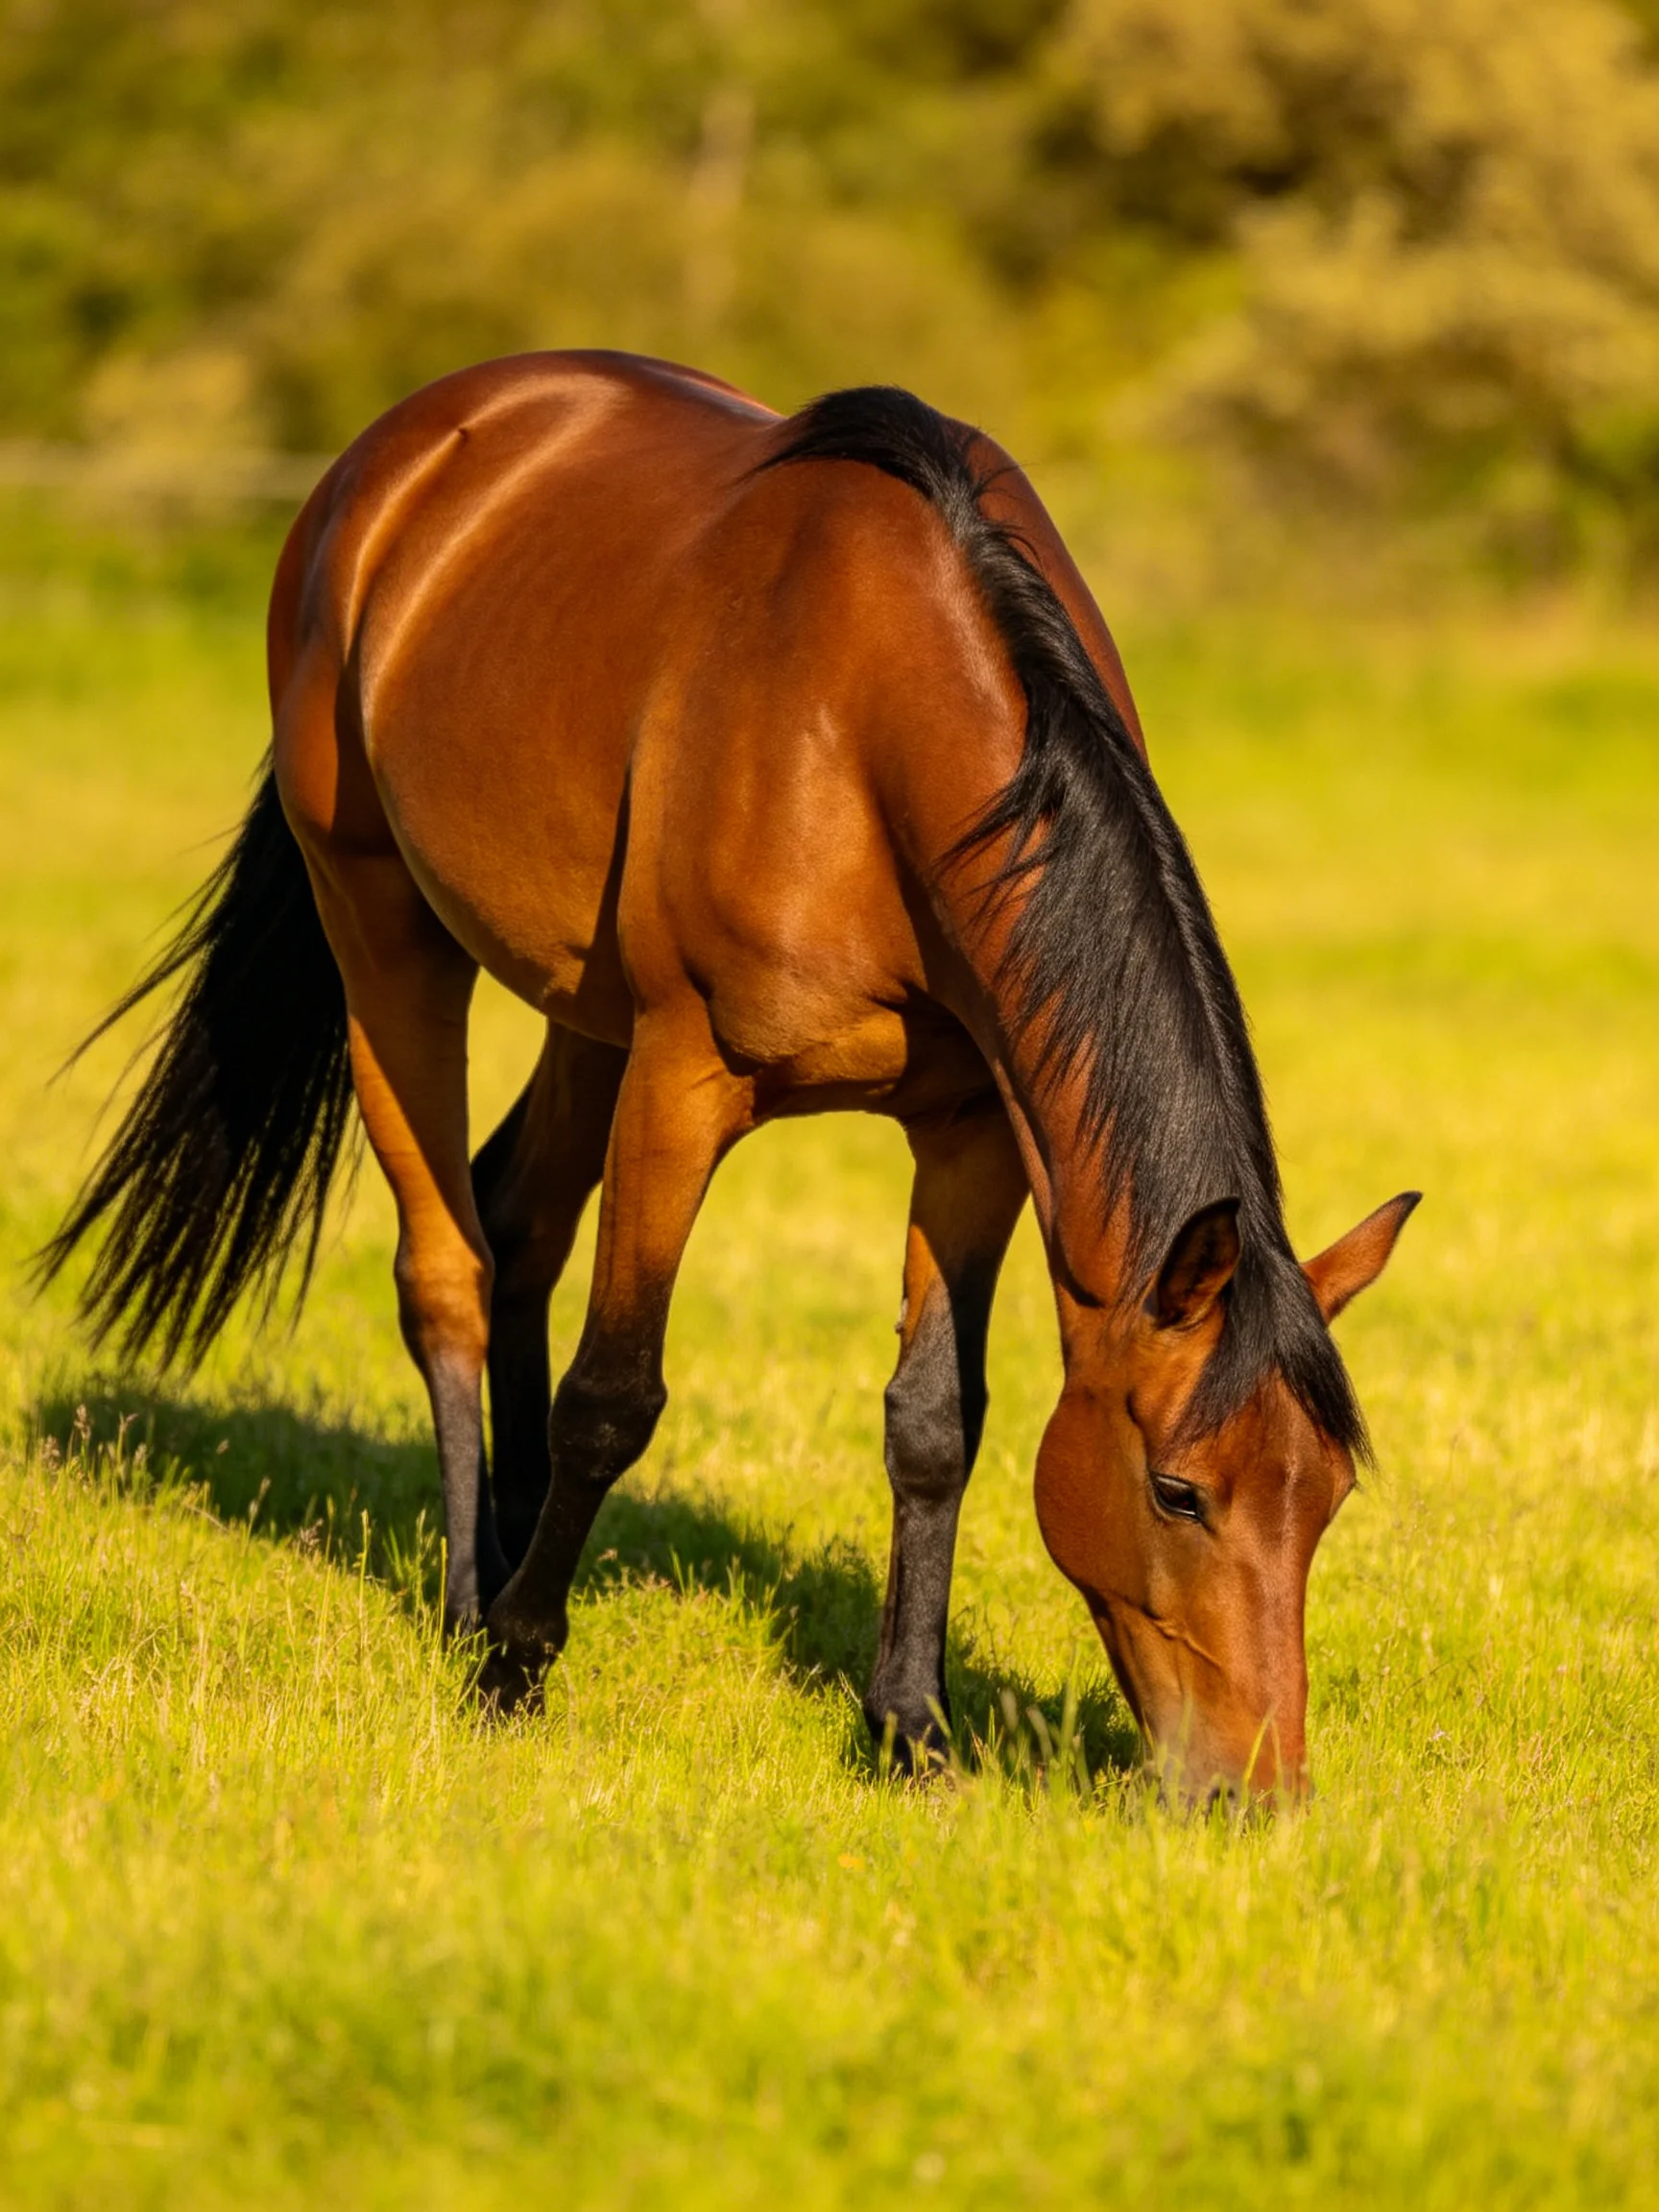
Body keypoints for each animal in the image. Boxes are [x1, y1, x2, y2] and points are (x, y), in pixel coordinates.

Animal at [44, 350, 1417, 1803]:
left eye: (1326, 1493)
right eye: (1177, 1491)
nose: (1255, 1791)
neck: (874, 728)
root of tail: (394, 456)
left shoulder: (971, 1128)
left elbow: (936, 1422)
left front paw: (911, 1729)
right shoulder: (684, 1080)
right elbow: (613, 1395)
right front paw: (517, 1669)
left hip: (580, 1010)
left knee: (518, 1225)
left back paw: (516, 1543)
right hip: (383, 929)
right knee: (450, 1269)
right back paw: (475, 1603)